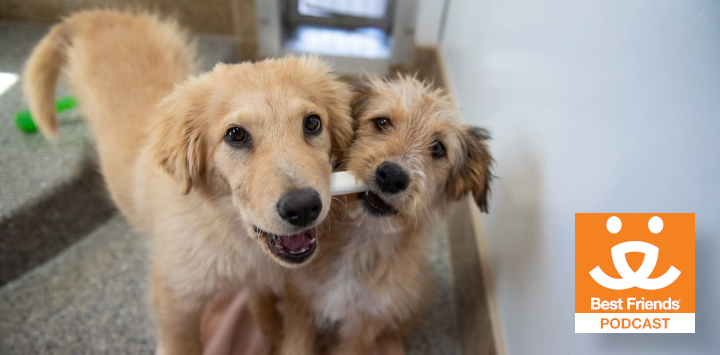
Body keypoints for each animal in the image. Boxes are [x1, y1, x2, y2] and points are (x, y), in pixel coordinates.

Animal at [24, 9, 354, 354]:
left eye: (312, 123)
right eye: (236, 135)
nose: (302, 208)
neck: (227, 228)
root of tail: (101, 16)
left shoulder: (259, 279)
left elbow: (262, 309)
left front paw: (276, 337)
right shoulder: (175, 304)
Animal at [278, 77, 492, 355]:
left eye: (438, 148)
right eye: (382, 122)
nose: (392, 176)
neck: (363, 239)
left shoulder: (364, 325)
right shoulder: (301, 304)